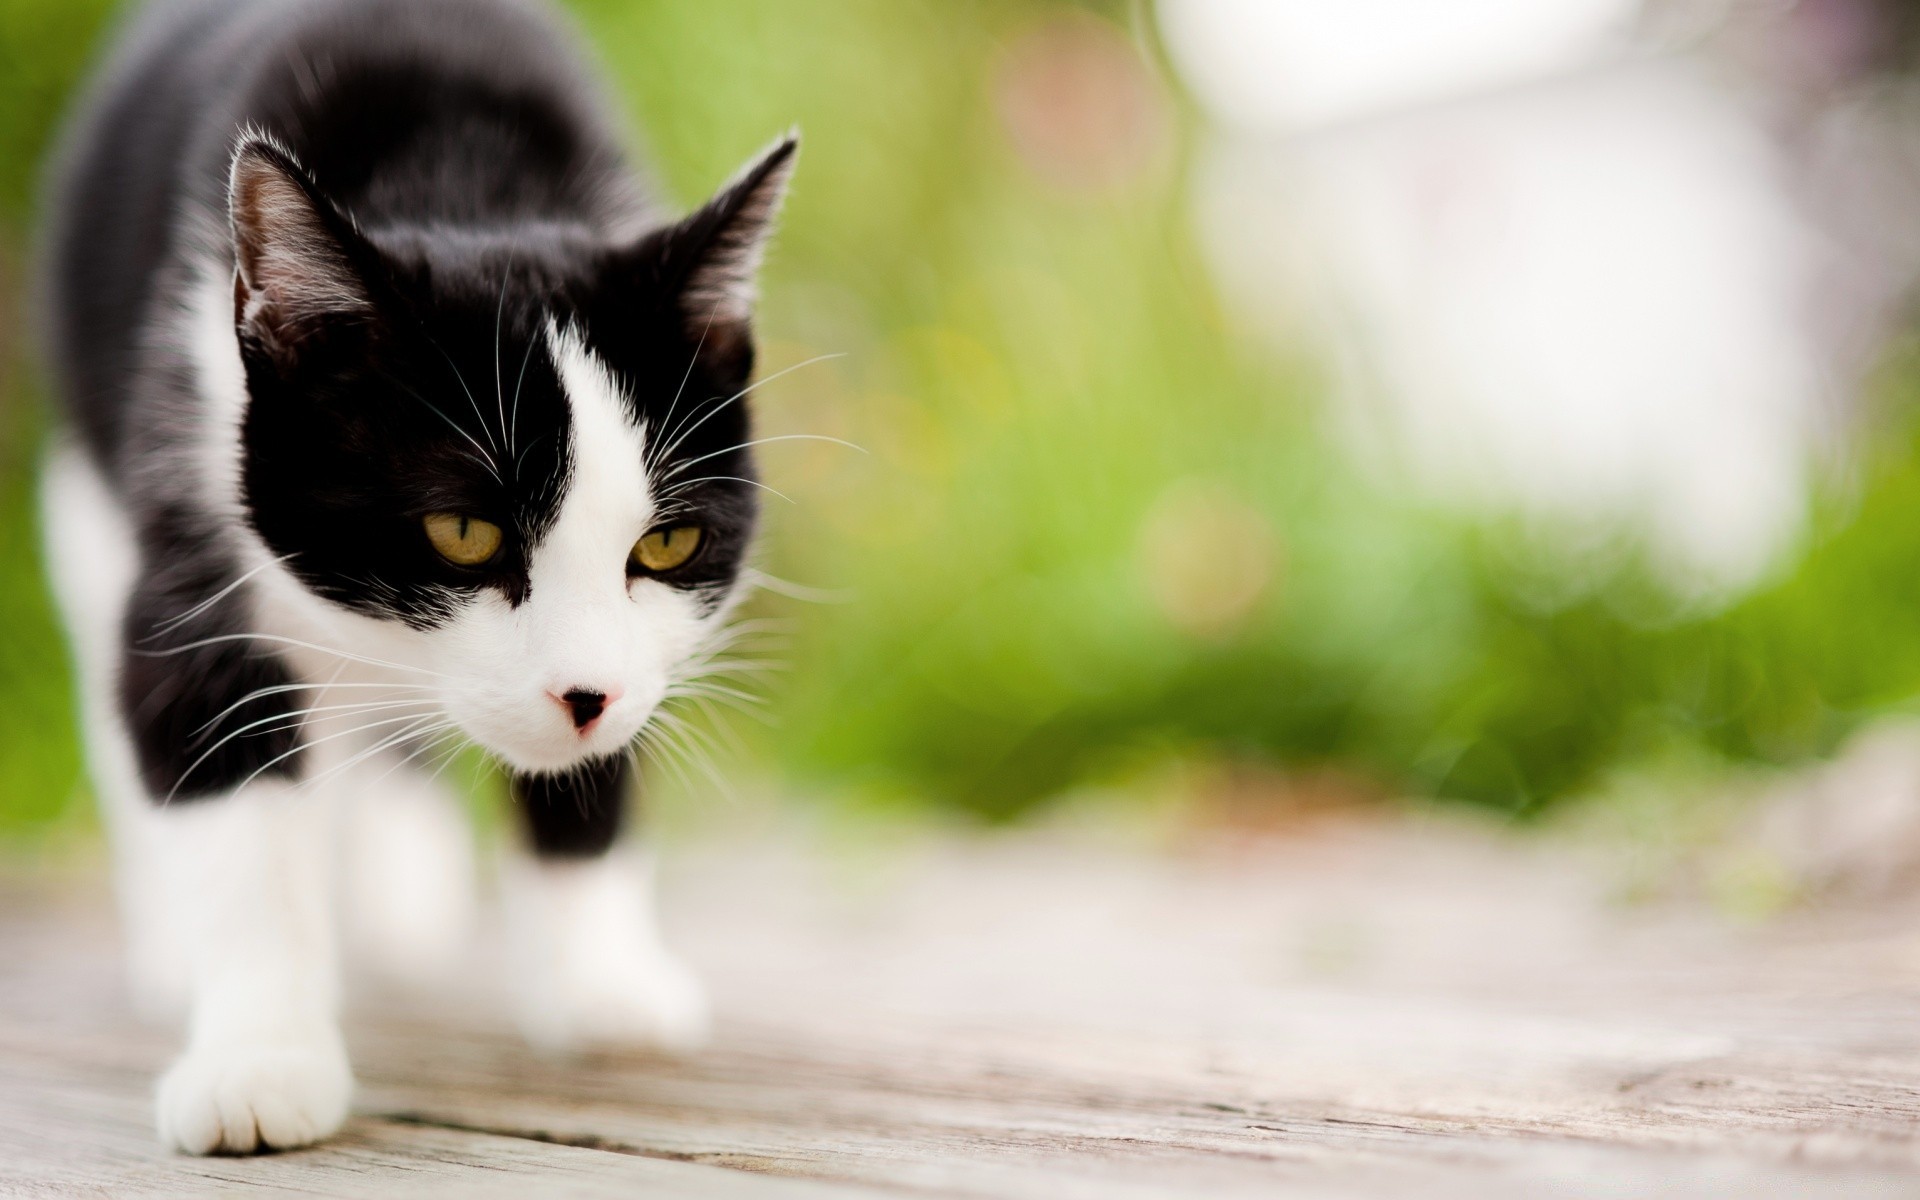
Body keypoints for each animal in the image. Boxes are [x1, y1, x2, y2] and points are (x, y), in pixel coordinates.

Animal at [33, 0, 791, 1152]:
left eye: (665, 545)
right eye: (462, 533)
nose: (583, 694)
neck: (463, 180)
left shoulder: (636, 654)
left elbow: (596, 763)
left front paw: (597, 985)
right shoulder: (188, 482)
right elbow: (215, 763)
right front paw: (260, 1060)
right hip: (86, 468)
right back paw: (172, 948)